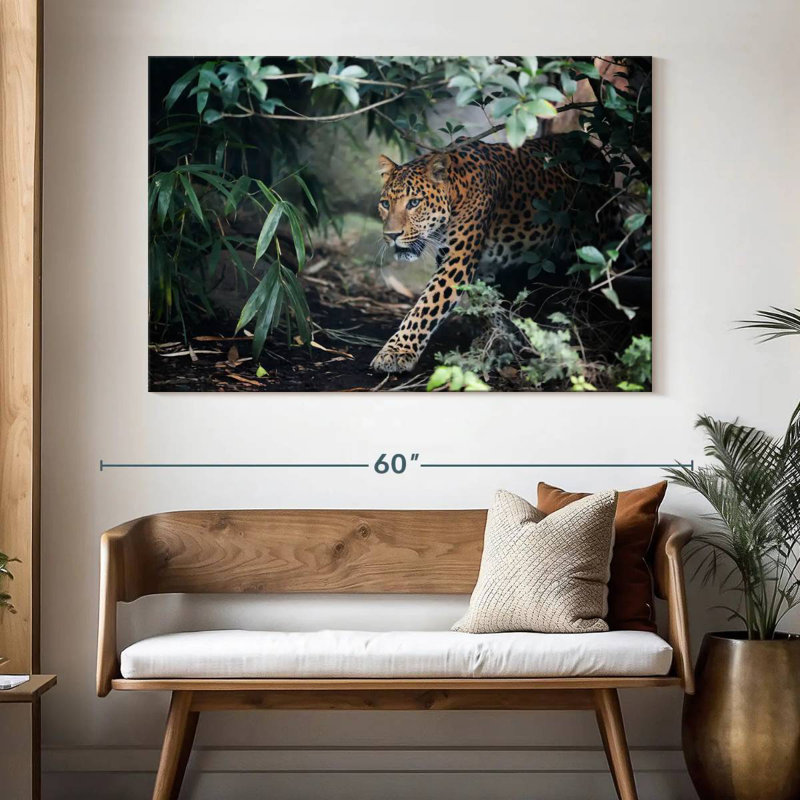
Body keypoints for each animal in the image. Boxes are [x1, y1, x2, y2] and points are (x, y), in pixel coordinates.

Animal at [371, 136, 607, 374]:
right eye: (385, 204)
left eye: (414, 203)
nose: (391, 235)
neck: (456, 191)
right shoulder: (475, 266)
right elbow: (486, 302)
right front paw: (499, 337)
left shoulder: (456, 263)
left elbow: (425, 308)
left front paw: (396, 352)